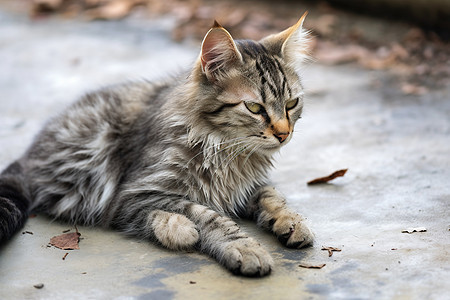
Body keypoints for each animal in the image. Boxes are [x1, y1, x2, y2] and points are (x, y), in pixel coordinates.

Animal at [0, 13, 312, 276]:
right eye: (254, 108)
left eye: (291, 104)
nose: (283, 134)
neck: (225, 150)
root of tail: (28, 155)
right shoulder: (134, 192)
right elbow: (208, 216)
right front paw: (244, 247)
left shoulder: (248, 185)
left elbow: (273, 197)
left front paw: (292, 222)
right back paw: (177, 228)